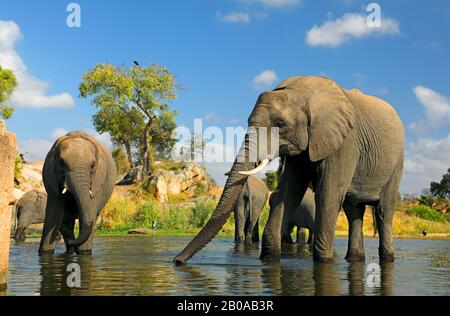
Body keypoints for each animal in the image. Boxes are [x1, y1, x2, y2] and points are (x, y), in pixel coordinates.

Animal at [173, 76, 404, 264]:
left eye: (280, 123)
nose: (177, 260)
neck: (301, 94)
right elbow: (289, 192)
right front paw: (269, 257)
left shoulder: (345, 143)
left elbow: (329, 194)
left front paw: (323, 260)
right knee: (353, 210)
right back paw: (355, 258)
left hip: (397, 162)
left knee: (383, 211)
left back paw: (387, 257)